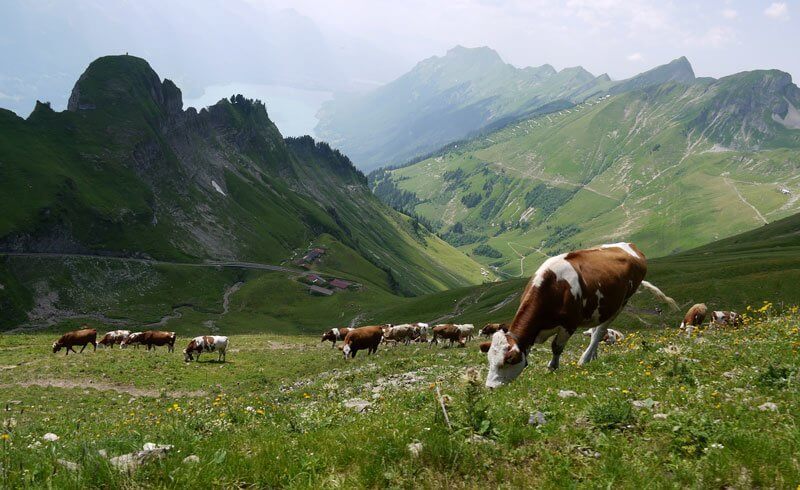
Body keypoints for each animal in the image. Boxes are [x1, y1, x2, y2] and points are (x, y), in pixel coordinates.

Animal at [484, 241, 680, 386]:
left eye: (507, 361)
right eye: (489, 359)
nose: (490, 387)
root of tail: (630, 246)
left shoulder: (569, 324)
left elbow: (556, 347)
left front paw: (552, 367)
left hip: (619, 304)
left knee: (600, 332)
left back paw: (584, 359)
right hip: (600, 307)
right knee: (596, 331)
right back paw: (593, 356)